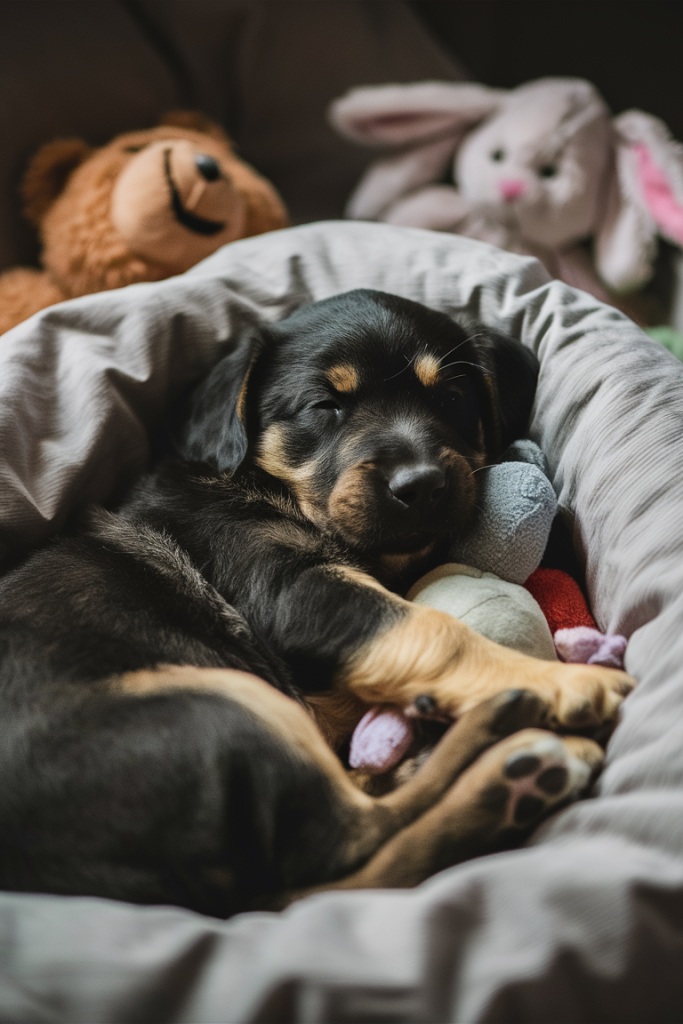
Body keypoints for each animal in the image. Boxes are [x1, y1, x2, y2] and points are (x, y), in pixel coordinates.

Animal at [0, 290, 634, 921]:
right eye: (325, 407)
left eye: (452, 399)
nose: (422, 485)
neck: (268, 489)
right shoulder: (294, 588)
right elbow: (433, 628)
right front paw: (564, 681)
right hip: (218, 706)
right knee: (355, 839)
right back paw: (511, 751)